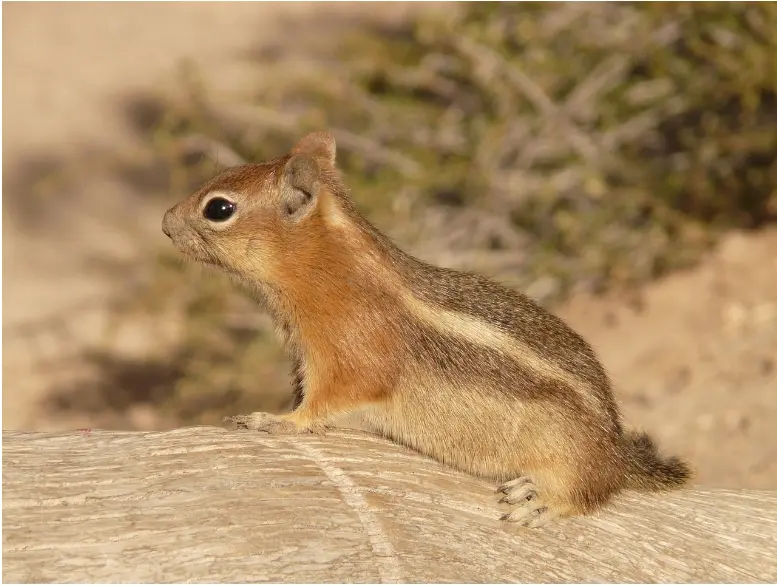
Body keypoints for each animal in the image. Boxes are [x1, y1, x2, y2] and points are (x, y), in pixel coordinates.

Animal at [162, 130, 692, 528]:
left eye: (219, 209)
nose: (165, 222)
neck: (329, 270)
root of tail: (615, 449)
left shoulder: (350, 358)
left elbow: (324, 403)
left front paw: (273, 420)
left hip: (569, 453)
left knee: (592, 491)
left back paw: (542, 500)